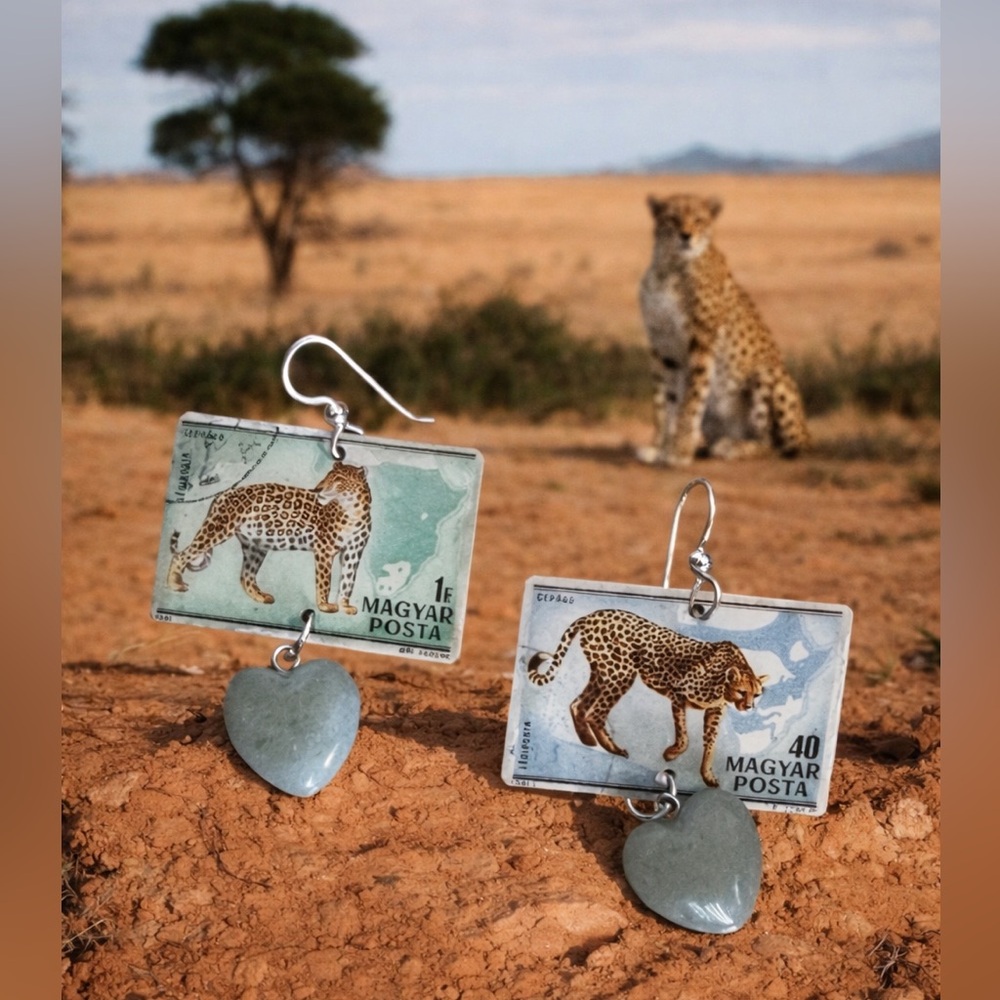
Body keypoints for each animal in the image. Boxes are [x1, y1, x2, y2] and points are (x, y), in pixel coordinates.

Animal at [166, 462, 372, 615]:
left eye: (338, 479)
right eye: (327, 476)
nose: (317, 489)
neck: (353, 512)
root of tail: (222, 495)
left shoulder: (353, 552)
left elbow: (348, 580)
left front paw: (345, 606)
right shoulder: (325, 550)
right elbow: (325, 581)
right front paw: (325, 605)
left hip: (255, 546)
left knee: (246, 576)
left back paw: (261, 597)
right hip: (218, 529)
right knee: (183, 554)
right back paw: (174, 584)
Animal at [527, 608, 767, 787]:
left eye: (756, 694)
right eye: (742, 692)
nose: (749, 706)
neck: (723, 684)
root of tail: (593, 614)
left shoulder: (714, 710)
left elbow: (710, 743)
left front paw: (707, 776)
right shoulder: (678, 695)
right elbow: (684, 736)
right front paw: (671, 754)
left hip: (602, 673)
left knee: (578, 704)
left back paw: (588, 740)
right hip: (621, 674)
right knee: (596, 713)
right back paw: (614, 749)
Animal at [637, 192, 809, 467]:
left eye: (699, 219)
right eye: (672, 218)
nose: (686, 236)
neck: (670, 266)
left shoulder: (701, 342)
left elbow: (691, 399)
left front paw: (679, 451)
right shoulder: (662, 346)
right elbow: (663, 401)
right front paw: (659, 447)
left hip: (767, 373)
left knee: (776, 445)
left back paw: (735, 447)